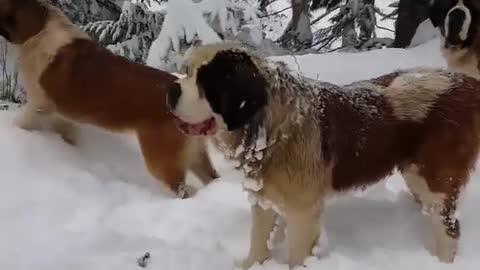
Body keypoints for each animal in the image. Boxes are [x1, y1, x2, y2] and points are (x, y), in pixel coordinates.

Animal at [0, 0, 218, 198]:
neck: (40, 30)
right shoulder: (63, 117)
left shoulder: (39, 105)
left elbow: (21, 122)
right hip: (196, 155)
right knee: (212, 178)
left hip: (161, 159)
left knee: (181, 190)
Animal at [167, 42, 480, 268]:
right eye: (186, 71)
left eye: (207, 82)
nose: (170, 89)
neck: (271, 124)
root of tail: (466, 83)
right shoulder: (263, 199)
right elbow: (259, 240)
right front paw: (252, 264)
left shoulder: (303, 213)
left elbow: (296, 255)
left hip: (432, 178)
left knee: (448, 228)